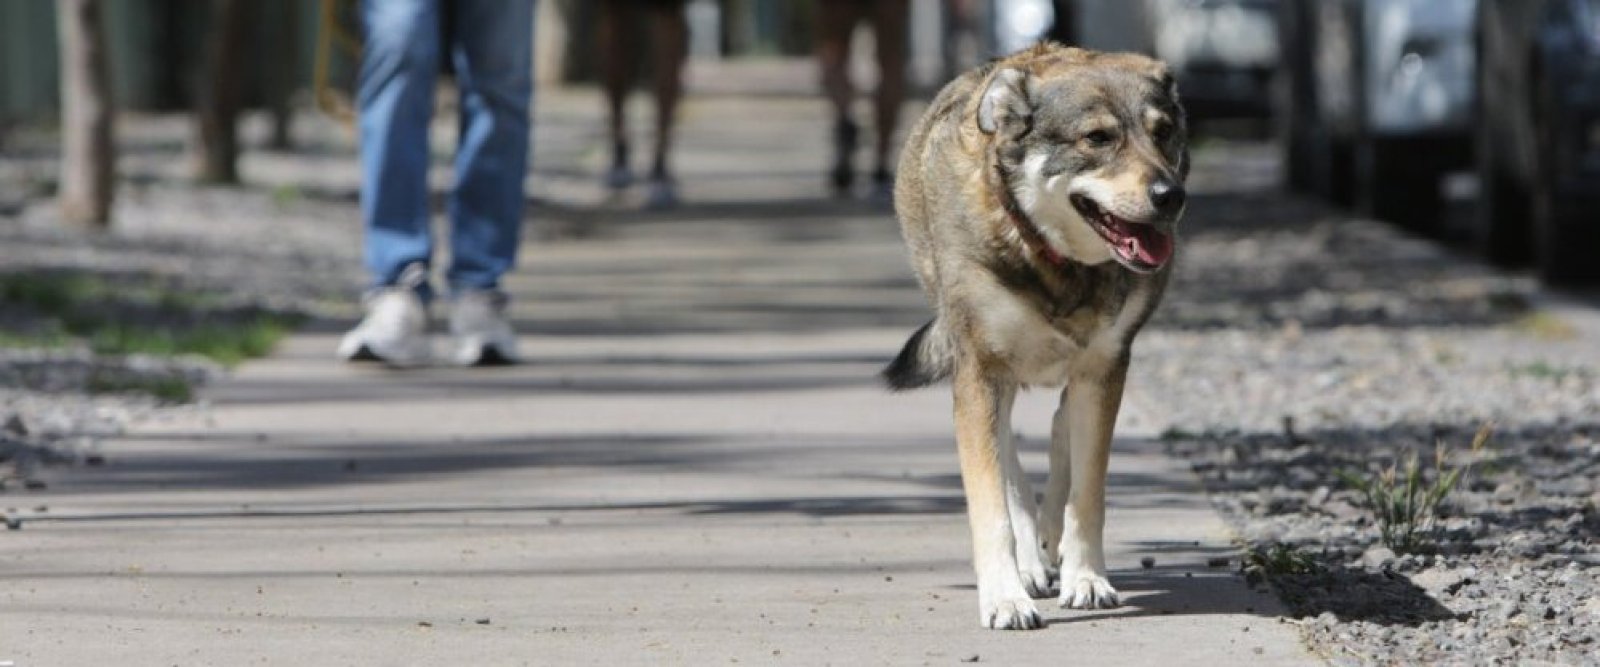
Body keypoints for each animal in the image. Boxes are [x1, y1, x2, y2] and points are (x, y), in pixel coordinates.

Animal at [889, 45, 1190, 630]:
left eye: (1163, 132)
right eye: (1098, 138)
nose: (1171, 195)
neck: (1055, 261)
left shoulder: (1104, 368)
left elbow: (1087, 493)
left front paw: (1087, 579)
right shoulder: (981, 373)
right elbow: (992, 502)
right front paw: (1005, 597)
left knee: (1059, 430)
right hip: (994, 379)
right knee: (1010, 460)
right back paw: (1030, 563)